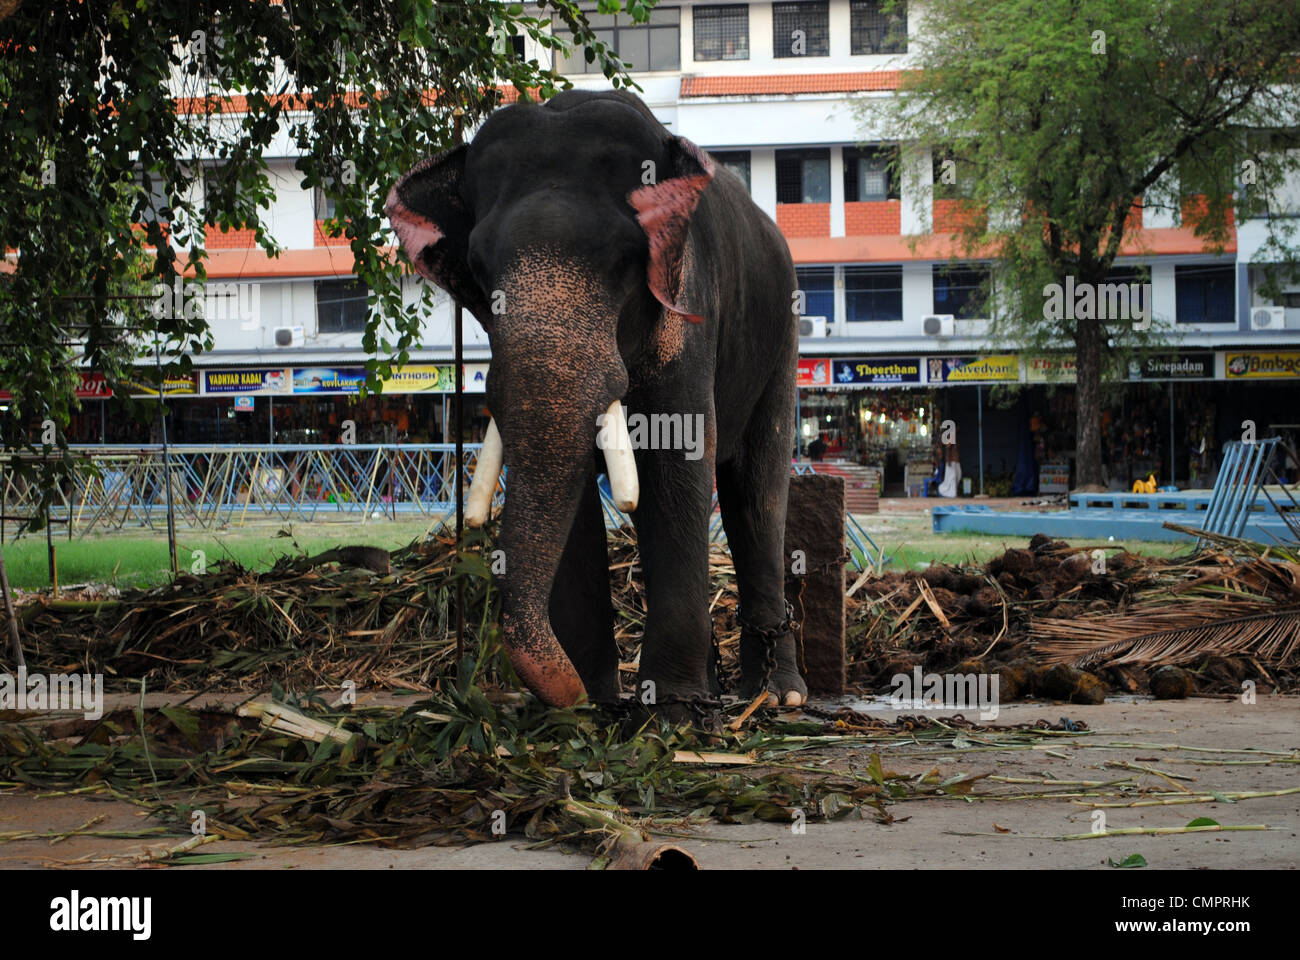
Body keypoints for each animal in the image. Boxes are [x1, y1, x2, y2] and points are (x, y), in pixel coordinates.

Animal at [387, 89, 800, 718]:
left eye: (625, 257)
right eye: (479, 269)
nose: (570, 695)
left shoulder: (689, 303)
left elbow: (676, 463)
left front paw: (670, 713)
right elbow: (577, 491)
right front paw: (591, 707)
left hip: (781, 337)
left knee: (758, 492)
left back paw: (776, 697)